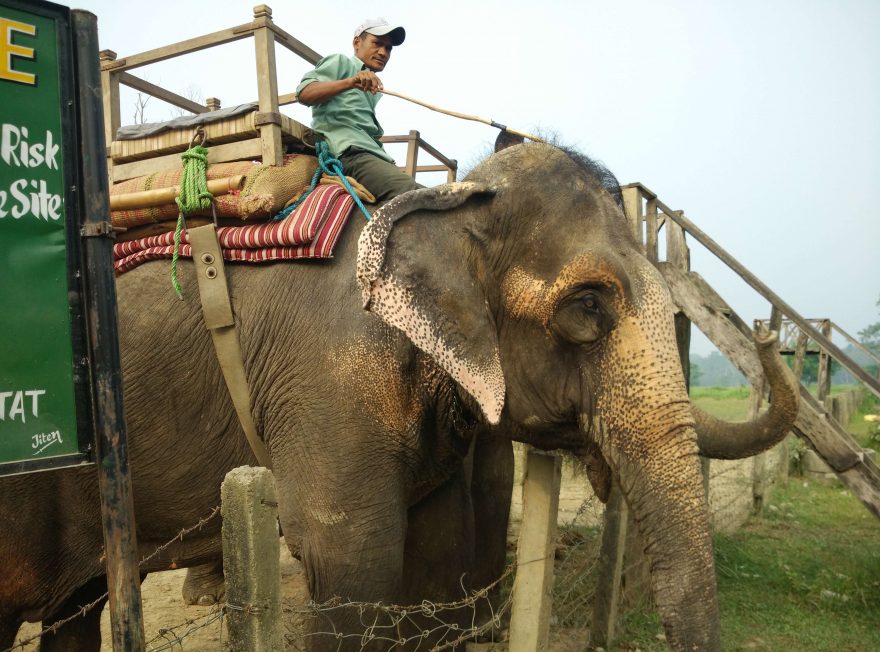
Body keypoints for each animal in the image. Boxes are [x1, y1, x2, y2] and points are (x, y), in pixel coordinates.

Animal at [0, 141, 796, 648]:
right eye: (588, 305)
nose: (765, 332)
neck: (446, 200)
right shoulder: (331, 376)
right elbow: (351, 558)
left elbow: (437, 559)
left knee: (77, 608)